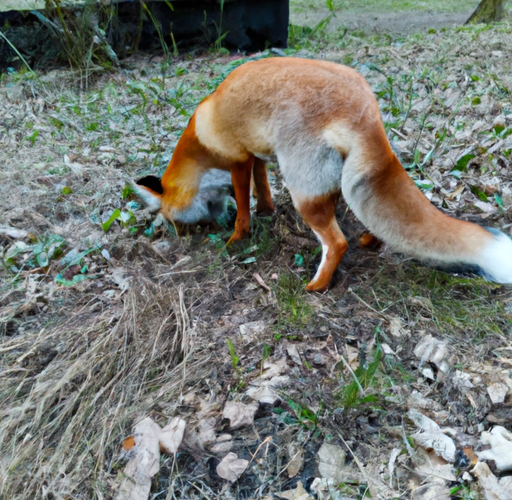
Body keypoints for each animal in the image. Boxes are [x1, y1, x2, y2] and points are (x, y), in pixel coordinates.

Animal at [135, 57, 512, 292]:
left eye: (171, 218)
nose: (181, 236)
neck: (201, 137)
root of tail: (366, 110)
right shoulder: (258, 155)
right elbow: (263, 188)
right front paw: (266, 212)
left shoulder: (239, 159)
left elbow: (243, 205)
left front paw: (236, 238)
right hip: (339, 182)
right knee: (362, 220)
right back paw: (369, 241)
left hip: (303, 192)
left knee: (336, 242)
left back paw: (317, 286)